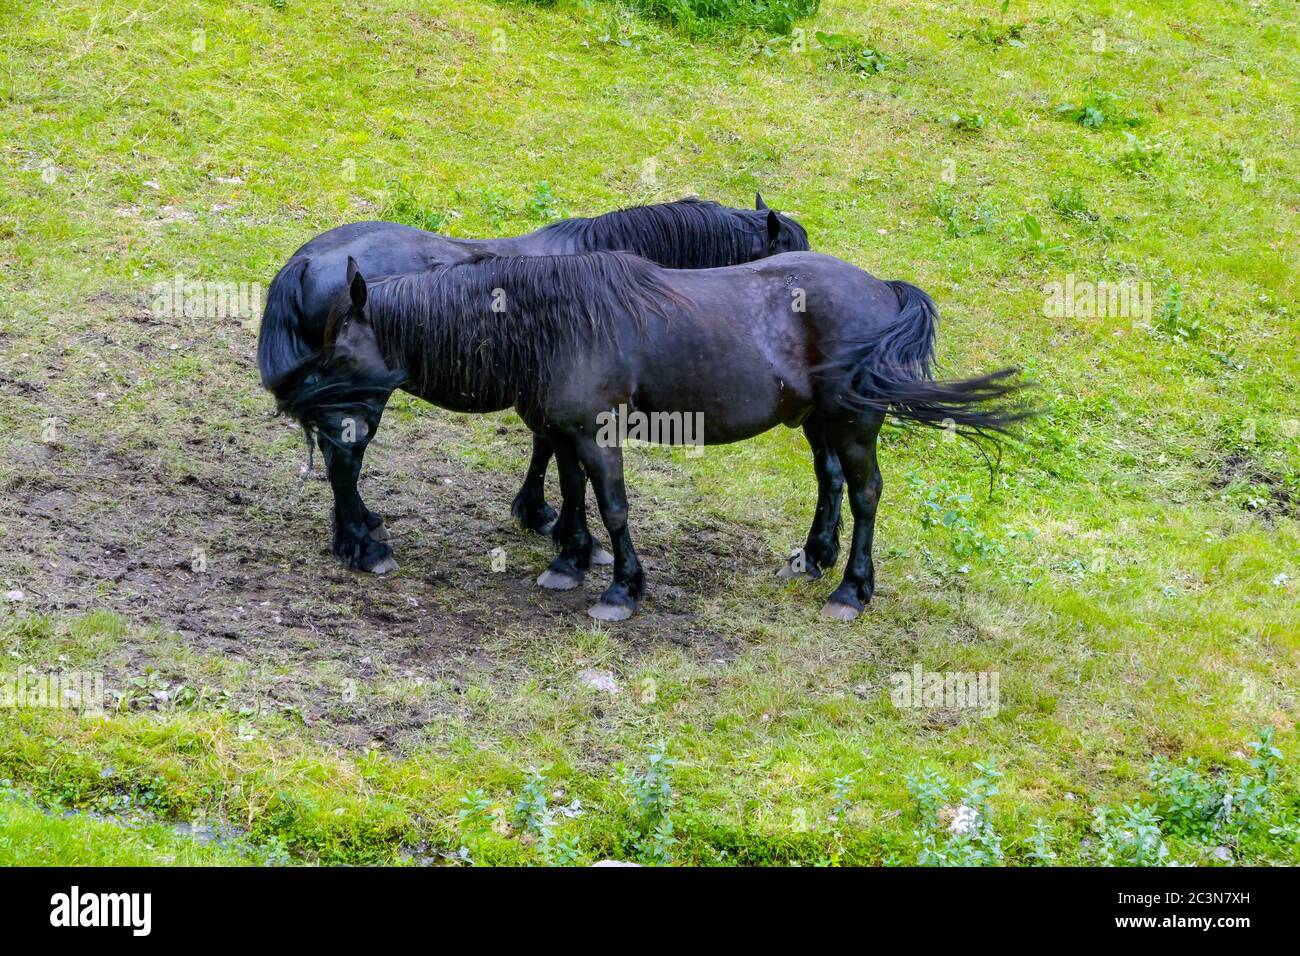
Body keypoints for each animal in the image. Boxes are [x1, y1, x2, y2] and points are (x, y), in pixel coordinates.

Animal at [254, 193, 806, 567]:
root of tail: (306, 261)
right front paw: (561, 527)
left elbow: (548, 449)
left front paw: (539, 514)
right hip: (362, 396)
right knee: (345, 460)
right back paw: (363, 546)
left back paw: (358, 528)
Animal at [271, 251, 1024, 621]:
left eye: (338, 352)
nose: (292, 401)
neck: (549, 321)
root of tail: (883, 290)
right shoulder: (564, 431)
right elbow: (573, 495)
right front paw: (569, 562)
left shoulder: (596, 432)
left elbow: (613, 506)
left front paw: (622, 591)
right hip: (818, 423)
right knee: (831, 482)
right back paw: (812, 560)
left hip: (854, 421)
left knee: (867, 493)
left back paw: (850, 591)